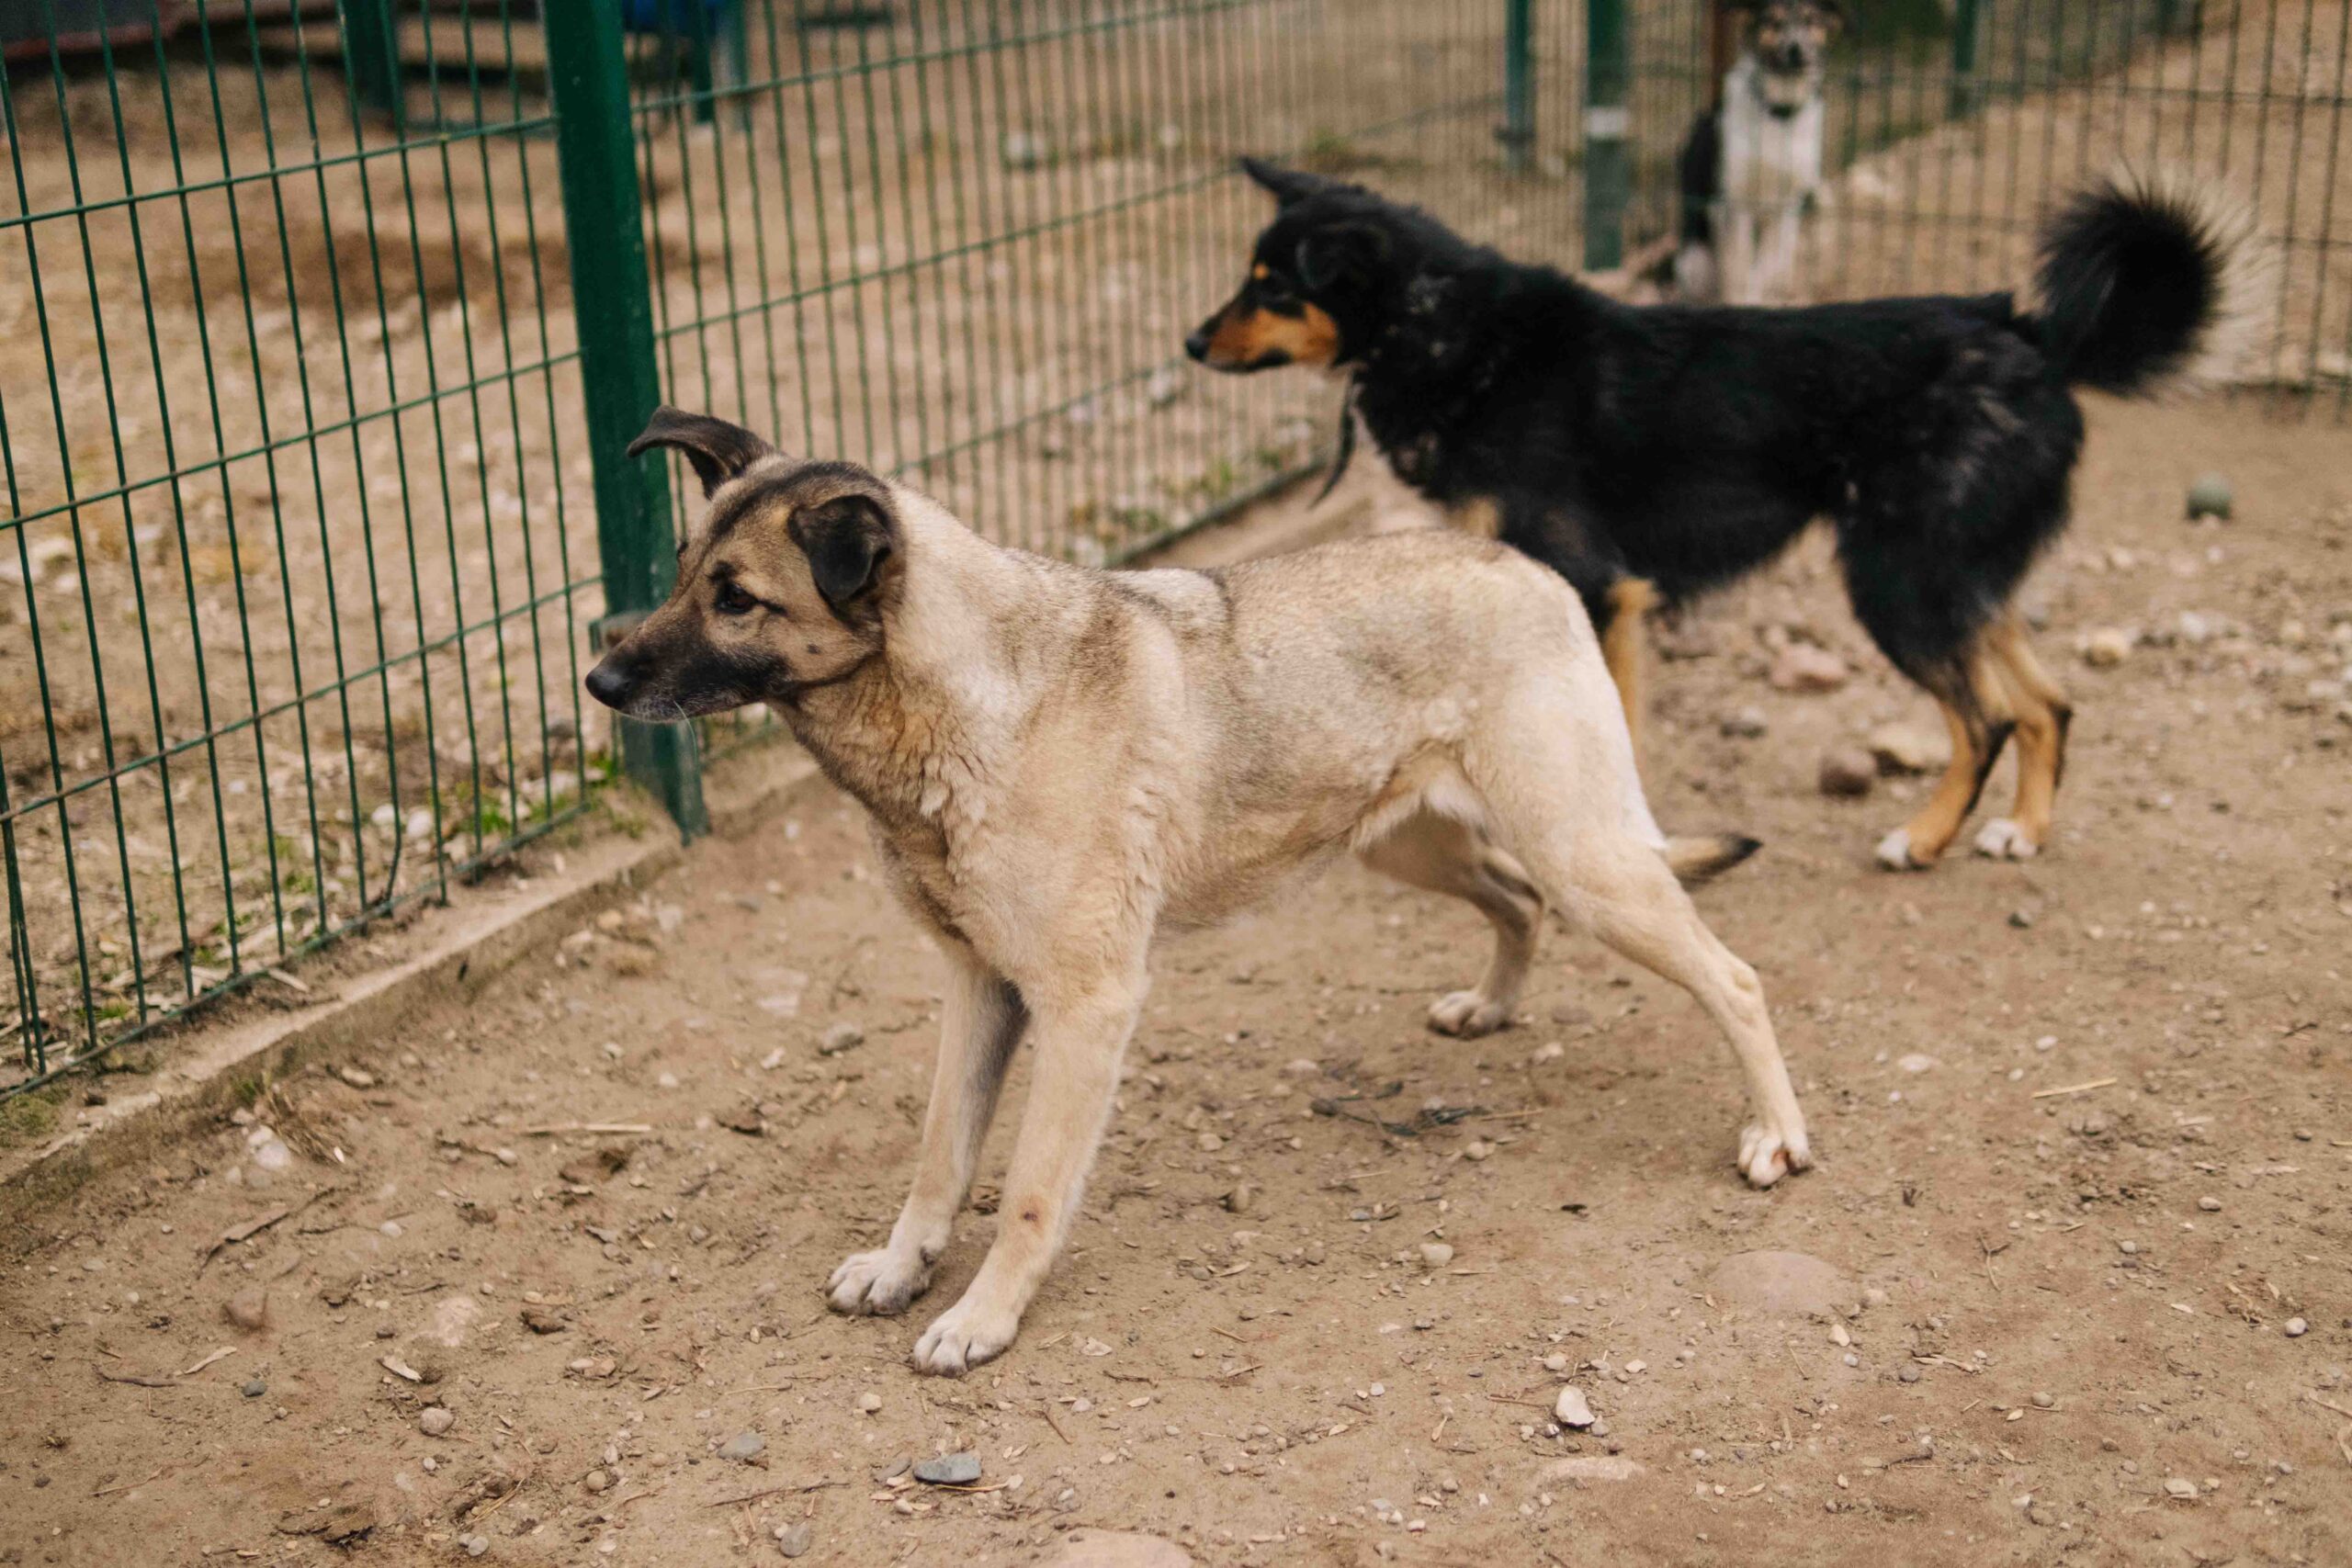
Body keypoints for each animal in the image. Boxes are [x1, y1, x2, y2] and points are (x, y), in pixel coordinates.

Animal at [585, 407, 1811, 1373]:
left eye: (739, 599)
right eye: (683, 571)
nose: (597, 679)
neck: (957, 706)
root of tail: (1523, 564)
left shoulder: (1084, 1007)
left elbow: (1026, 1191)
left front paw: (981, 1318)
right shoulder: (980, 989)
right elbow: (940, 1155)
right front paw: (902, 1264)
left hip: (1585, 856)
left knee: (1734, 977)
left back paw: (1776, 1137)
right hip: (1410, 846)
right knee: (1518, 904)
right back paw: (1494, 1005)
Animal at [1187, 161, 2258, 871]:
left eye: (1272, 287)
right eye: (1245, 275)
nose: (1192, 342)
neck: (1444, 330)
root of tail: (2027, 332)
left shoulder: (1592, 585)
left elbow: (1613, 733)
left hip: (1896, 583)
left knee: (1987, 717)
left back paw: (1921, 838)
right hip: (1952, 575)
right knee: (2049, 703)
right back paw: (2021, 831)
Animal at [1673, 0, 1843, 305]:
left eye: (1812, 21)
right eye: (1773, 22)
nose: (1796, 50)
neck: (1778, 113)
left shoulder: (1783, 208)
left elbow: (1766, 270)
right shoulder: (1734, 205)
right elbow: (1740, 276)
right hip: (1695, 262)